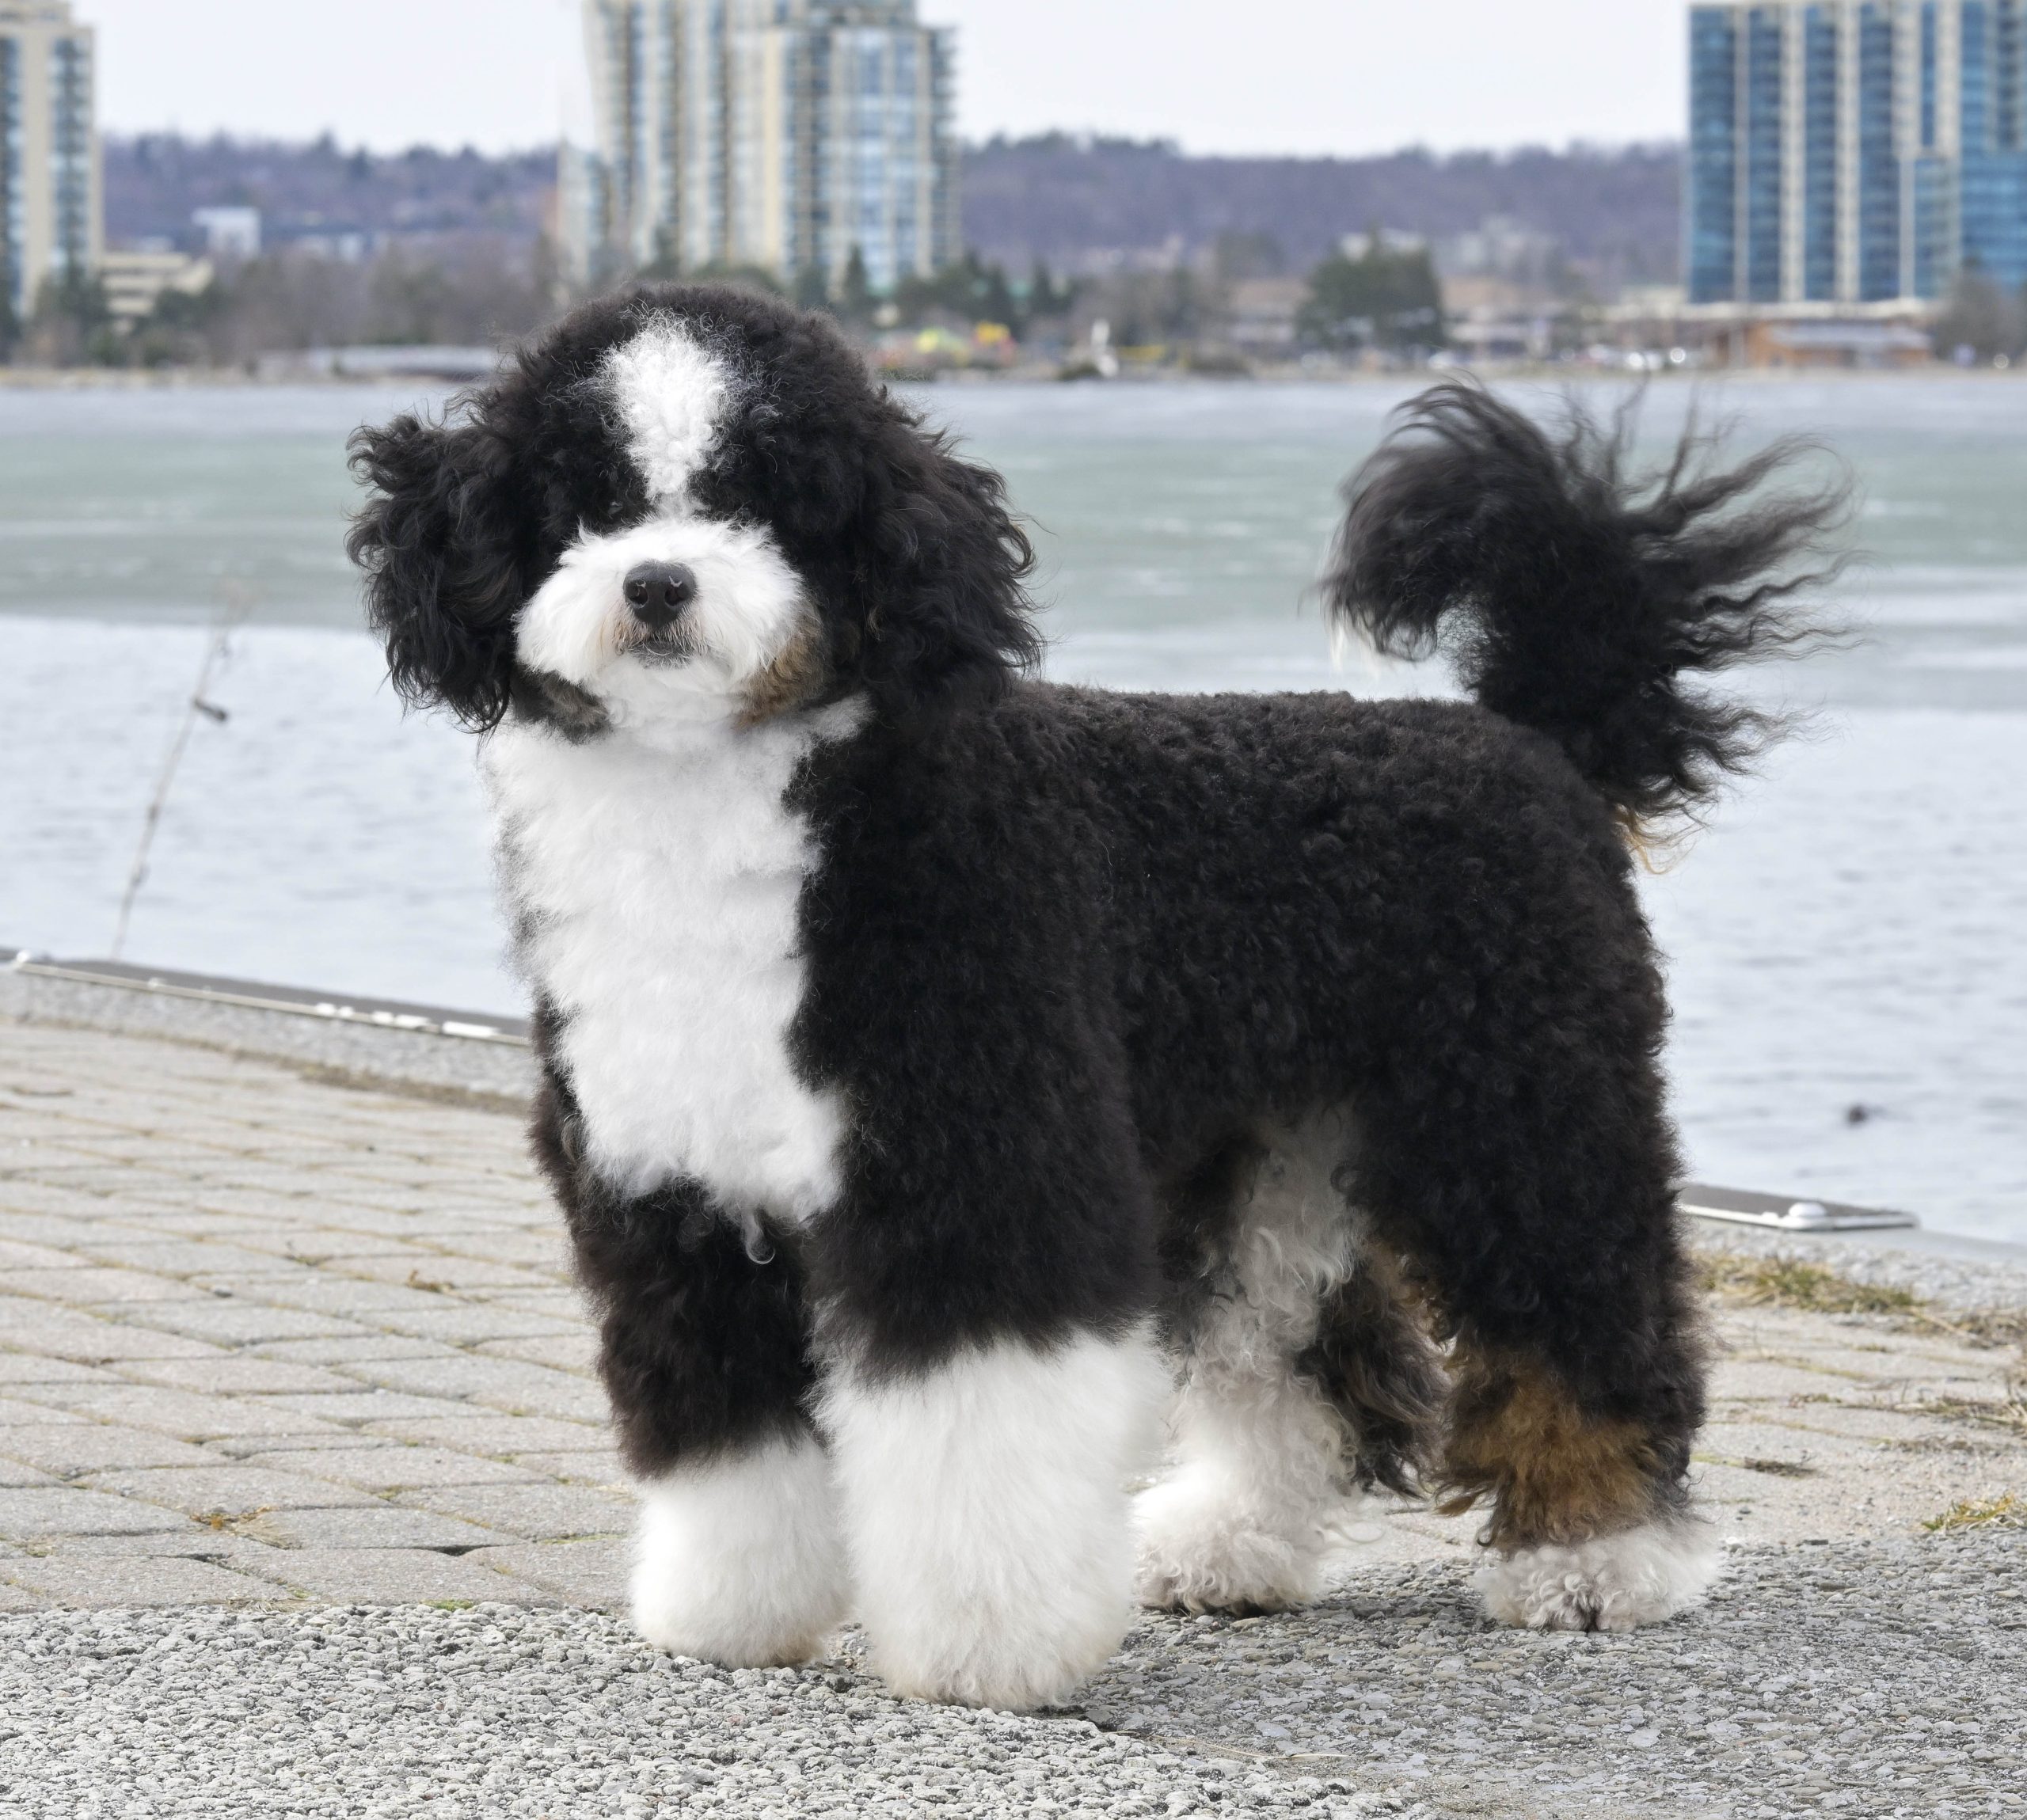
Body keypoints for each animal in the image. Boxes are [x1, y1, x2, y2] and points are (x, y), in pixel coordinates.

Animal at [348, 284, 1839, 1711]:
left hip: (1521, 1111)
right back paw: (1228, 1540)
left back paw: (1596, 1555)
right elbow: (728, 1426)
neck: (733, 803)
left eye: (760, 495)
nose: (657, 583)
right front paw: (737, 1609)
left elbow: (978, 1430)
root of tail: (1530, 733)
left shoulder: (978, 1167)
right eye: (585, 500)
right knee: (1305, 1359)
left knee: (1583, 1317)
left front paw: (991, 1648)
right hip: (1270, 1151)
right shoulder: (673, 1195)